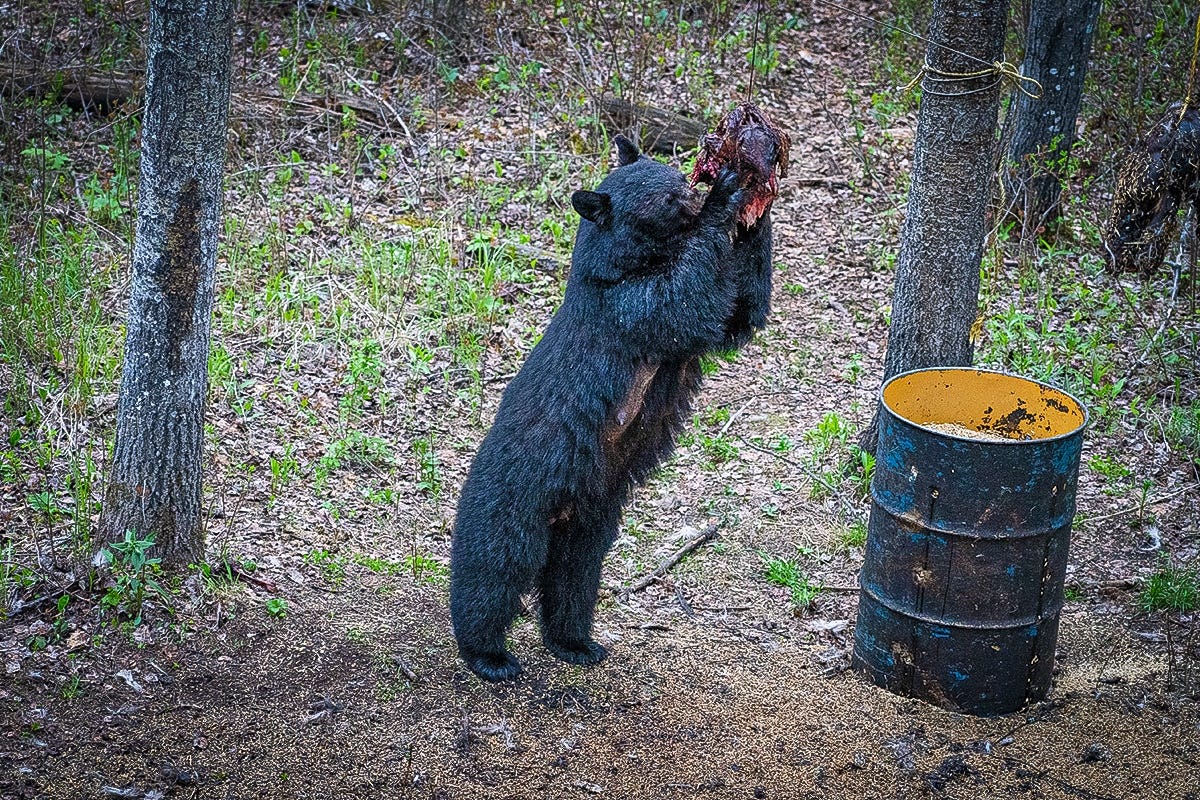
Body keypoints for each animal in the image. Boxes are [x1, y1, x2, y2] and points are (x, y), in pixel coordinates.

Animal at [449, 135, 773, 682]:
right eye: (667, 197)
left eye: (677, 175)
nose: (692, 189)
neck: (622, 265)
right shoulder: (624, 308)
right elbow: (687, 298)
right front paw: (726, 196)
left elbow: (740, 312)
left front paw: (758, 201)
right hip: (516, 497)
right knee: (495, 566)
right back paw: (488, 654)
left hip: (590, 514)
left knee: (574, 578)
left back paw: (575, 642)